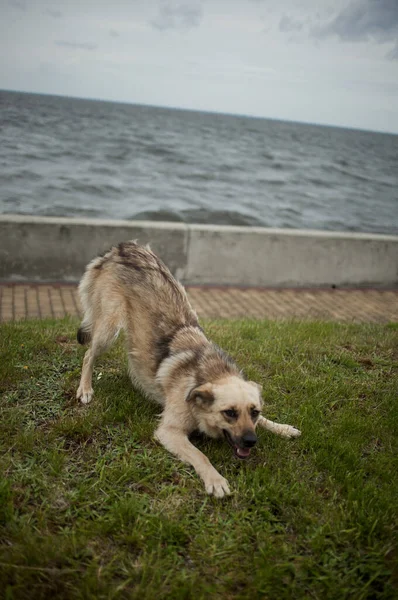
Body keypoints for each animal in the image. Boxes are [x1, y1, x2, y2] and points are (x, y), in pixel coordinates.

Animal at [76, 241, 300, 500]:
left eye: (254, 412)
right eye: (229, 413)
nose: (251, 441)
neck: (211, 373)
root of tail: (124, 247)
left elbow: (266, 421)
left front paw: (282, 428)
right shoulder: (169, 431)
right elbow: (200, 455)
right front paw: (215, 479)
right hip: (108, 329)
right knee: (88, 355)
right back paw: (85, 388)